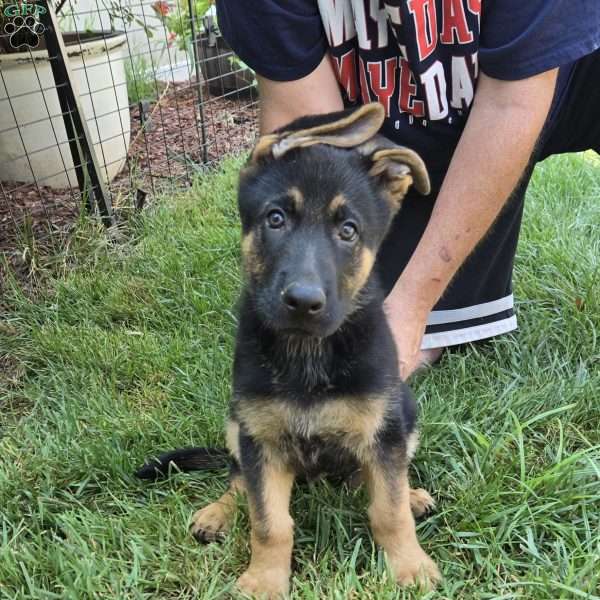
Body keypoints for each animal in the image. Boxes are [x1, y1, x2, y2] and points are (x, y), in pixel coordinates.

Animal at [138, 103, 442, 596]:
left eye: (348, 230)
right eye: (276, 218)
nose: (302, 301)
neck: (307, 353)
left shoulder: (382, 433)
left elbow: (388, 509)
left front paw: (409, 566)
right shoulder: (261, 440)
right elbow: (269, 522)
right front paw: (264, 580)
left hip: (406, 412)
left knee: (367, 480)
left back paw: (410, 494)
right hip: (235, 422)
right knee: (238, 479)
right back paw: (218, 513)